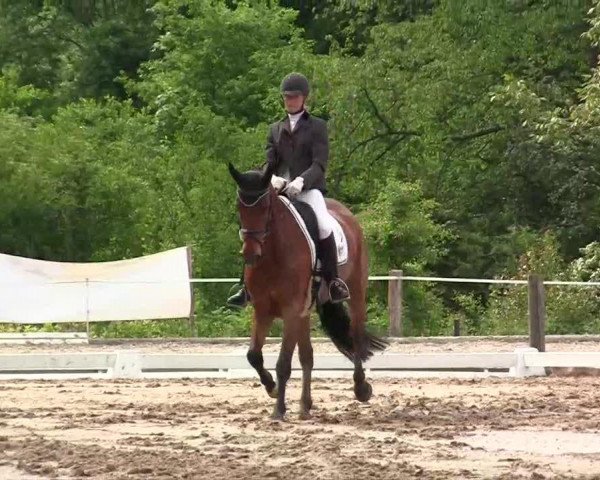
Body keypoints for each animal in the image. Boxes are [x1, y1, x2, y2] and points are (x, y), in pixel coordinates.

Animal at [227, 162, 386, 420]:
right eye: (239, 207)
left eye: (265, 207)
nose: (250, 254)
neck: (273, 253)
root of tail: (346, 212)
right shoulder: (262, 309)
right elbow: (254, 355)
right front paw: (272, 389)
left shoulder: (291, 310)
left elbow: (283, 363)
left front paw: (278, 410)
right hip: (306, 310)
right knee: (307, 356)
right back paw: (305, 405)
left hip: (355, 292)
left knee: (356, 338)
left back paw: (361, 388)